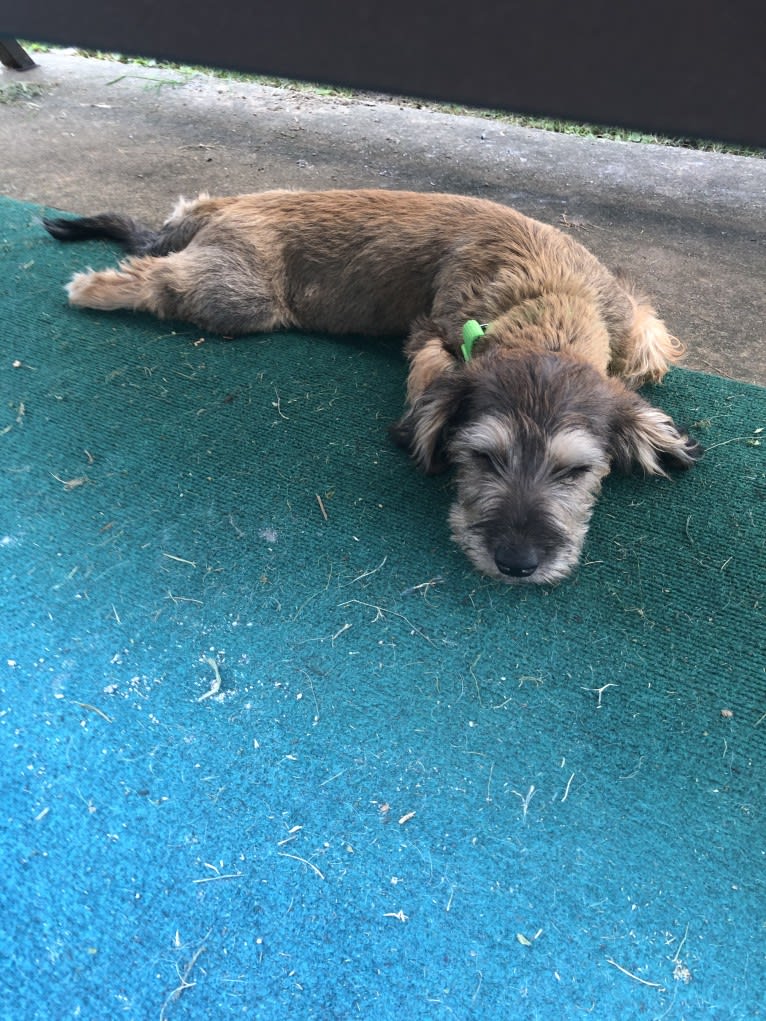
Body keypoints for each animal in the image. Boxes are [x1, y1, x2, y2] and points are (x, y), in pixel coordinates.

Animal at [41, 189, 702, 584]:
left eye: (577, 472)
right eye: (482, 458)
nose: (517, 563)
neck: (548, 301)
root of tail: (225, 204)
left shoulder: (635, 328)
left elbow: (648, 350)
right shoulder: (435, 339)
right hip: (236, 298)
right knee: (151, 277)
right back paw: (91, 287)